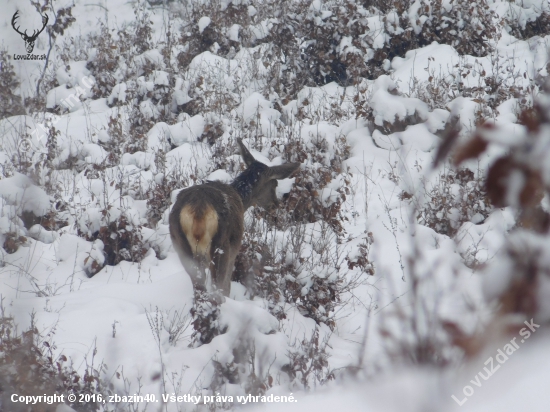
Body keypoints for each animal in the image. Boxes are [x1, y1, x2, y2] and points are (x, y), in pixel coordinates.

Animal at [170, 138, 302, 296]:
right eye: (275, 183)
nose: (276, 204)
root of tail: (198, 210)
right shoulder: (235, 247)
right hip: (221, 248)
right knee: (219, 289)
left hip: (180, 245)